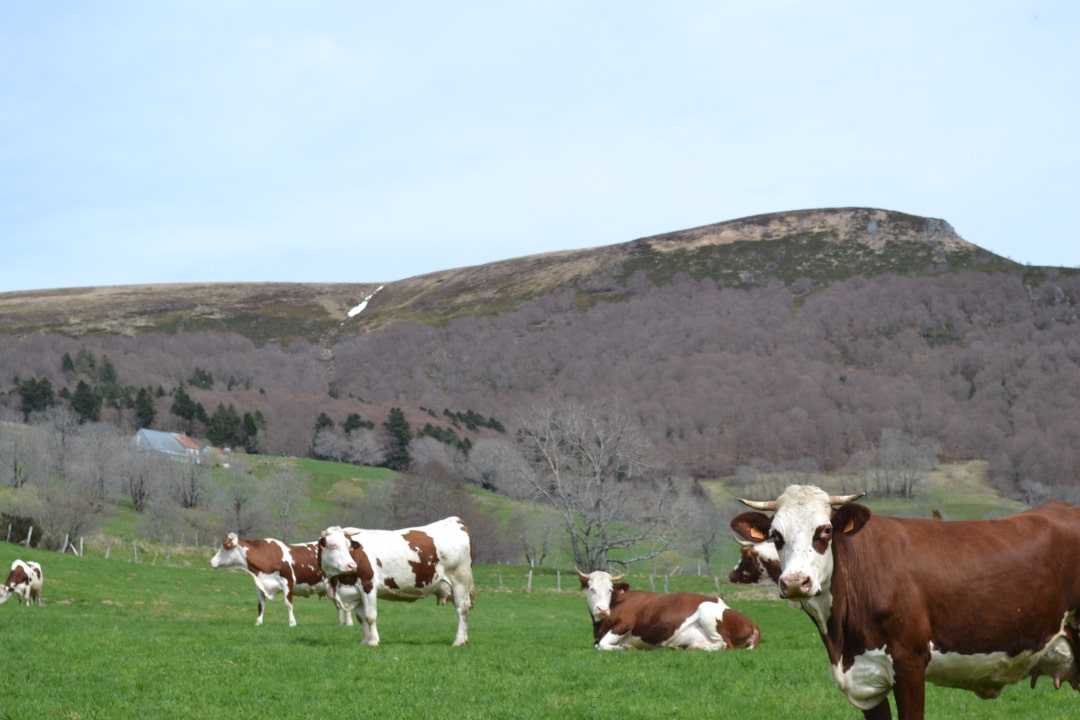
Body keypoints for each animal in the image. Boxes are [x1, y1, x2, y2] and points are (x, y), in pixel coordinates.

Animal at [208, 533, 347, 626]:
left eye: (225, 547)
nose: (211, 562)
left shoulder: (288, 582)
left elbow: (288, 604)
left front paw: (292, 623)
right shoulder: (260, 585)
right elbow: (261, 605)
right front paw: (258, 622)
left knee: (342, 603)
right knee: (338, 604)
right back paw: (340, 623)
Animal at [315, 518, 477, 647]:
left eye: (349, 546)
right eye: (333, 545)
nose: (351, 565)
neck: (338, 582)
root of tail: (455, 520)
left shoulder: (368, 585)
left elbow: (370, 616)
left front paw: (373, 641)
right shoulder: (356, 592)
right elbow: (361, 618)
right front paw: (364, 641)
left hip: (459, 580)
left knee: (462, 609)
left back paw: (458, 641)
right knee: (465, 608)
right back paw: (465, 639)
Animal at [574, 569, 760, 651]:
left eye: (610, 590)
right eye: (591, 588)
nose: (602, 609)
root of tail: (752, 622)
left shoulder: (625, 624)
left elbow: (601, 645)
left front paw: (625, 647)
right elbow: (598, 644)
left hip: (706, 610)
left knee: (724, 645)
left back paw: (691, 647)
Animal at [730, 483, 1080, 720]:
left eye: (825, 530)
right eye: (776, 536)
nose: (795, 582)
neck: (841, 642)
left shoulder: (909, 665)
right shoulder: (866, 681)